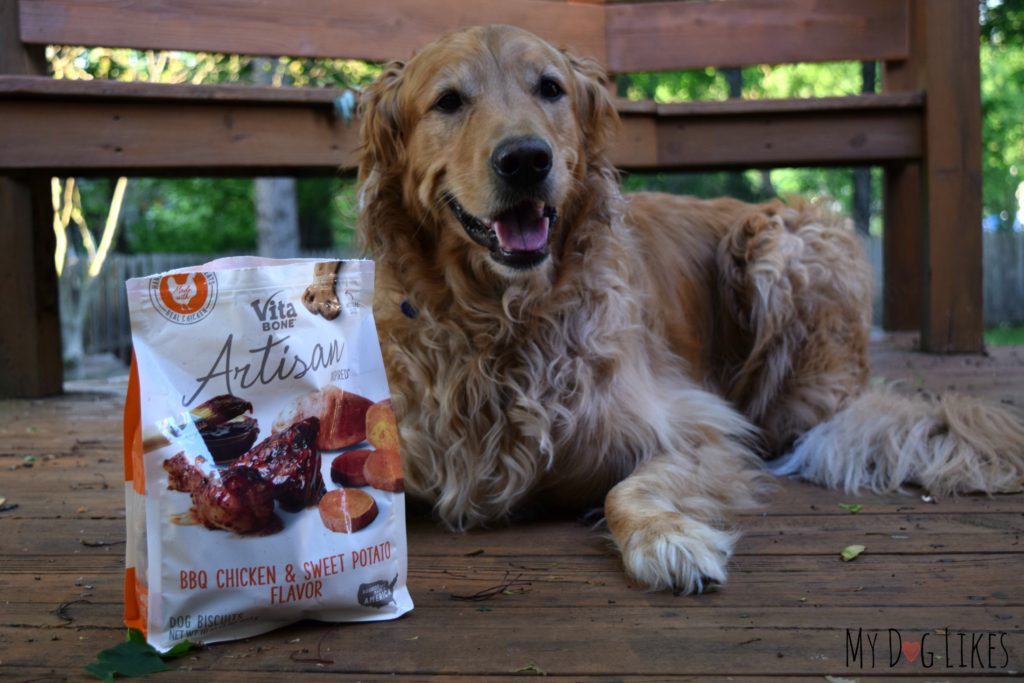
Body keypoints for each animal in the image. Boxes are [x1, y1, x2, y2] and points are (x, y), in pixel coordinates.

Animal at [358, 25, 1024, 593]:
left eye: (549, 88)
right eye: (449, 101)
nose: (526, 159)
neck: (499, 321)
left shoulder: (701, 427)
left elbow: (626, 490)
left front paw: (666, 538)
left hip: (785, 246)